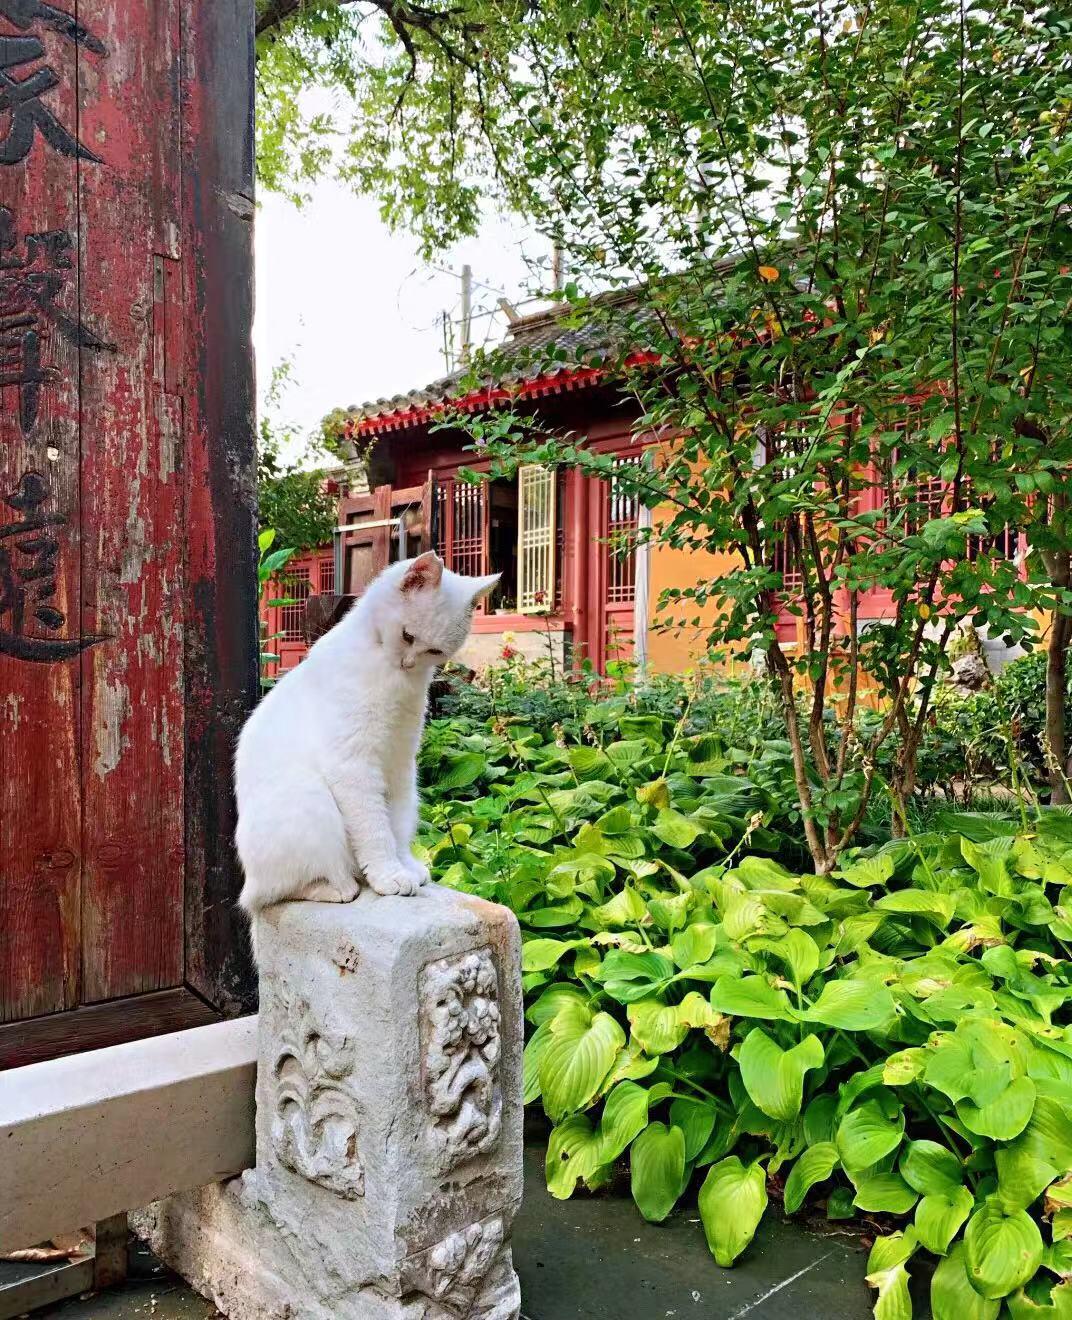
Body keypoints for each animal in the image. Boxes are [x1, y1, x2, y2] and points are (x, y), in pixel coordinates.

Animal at [234, 551, 499, 924]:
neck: (394, 678)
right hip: (311, 801)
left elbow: (396, 827)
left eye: (434, 651)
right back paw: (340, 887)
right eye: (407, 636)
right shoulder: (354, 765)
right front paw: (389, 876)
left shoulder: (400, 764)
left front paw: (404, 867)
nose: (407, 663)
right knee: (276, 892)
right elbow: (375, 830)